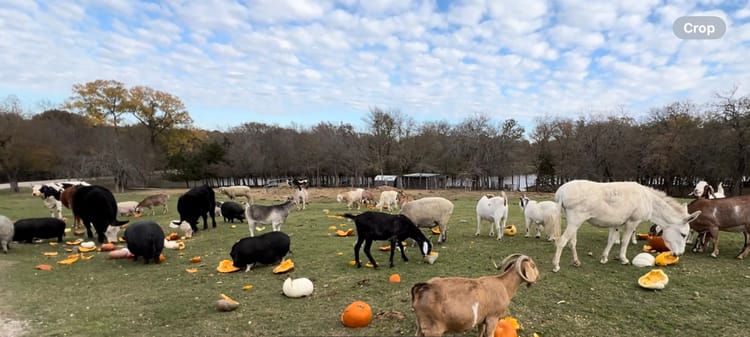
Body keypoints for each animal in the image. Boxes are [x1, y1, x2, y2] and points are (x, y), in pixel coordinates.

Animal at [412, 253, 540, 334]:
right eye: (533, 265)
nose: (538, 276)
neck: (503, 284)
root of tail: (424, 287)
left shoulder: (481, 320)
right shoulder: (492, 318)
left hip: (420, 326)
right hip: (432, 329)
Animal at [552, 180, 704, 272]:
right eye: (683, 235)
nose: (679, 254)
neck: (648, 200)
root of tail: (562, 191)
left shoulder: (616, 223)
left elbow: (611, 240)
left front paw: (604, 258)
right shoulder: (632, 222)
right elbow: (624, 241)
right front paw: (623, 259)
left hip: (574, 221)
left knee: (572, 242)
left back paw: (576, 261)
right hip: (575, 220)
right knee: (562, 241)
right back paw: (556, 265)